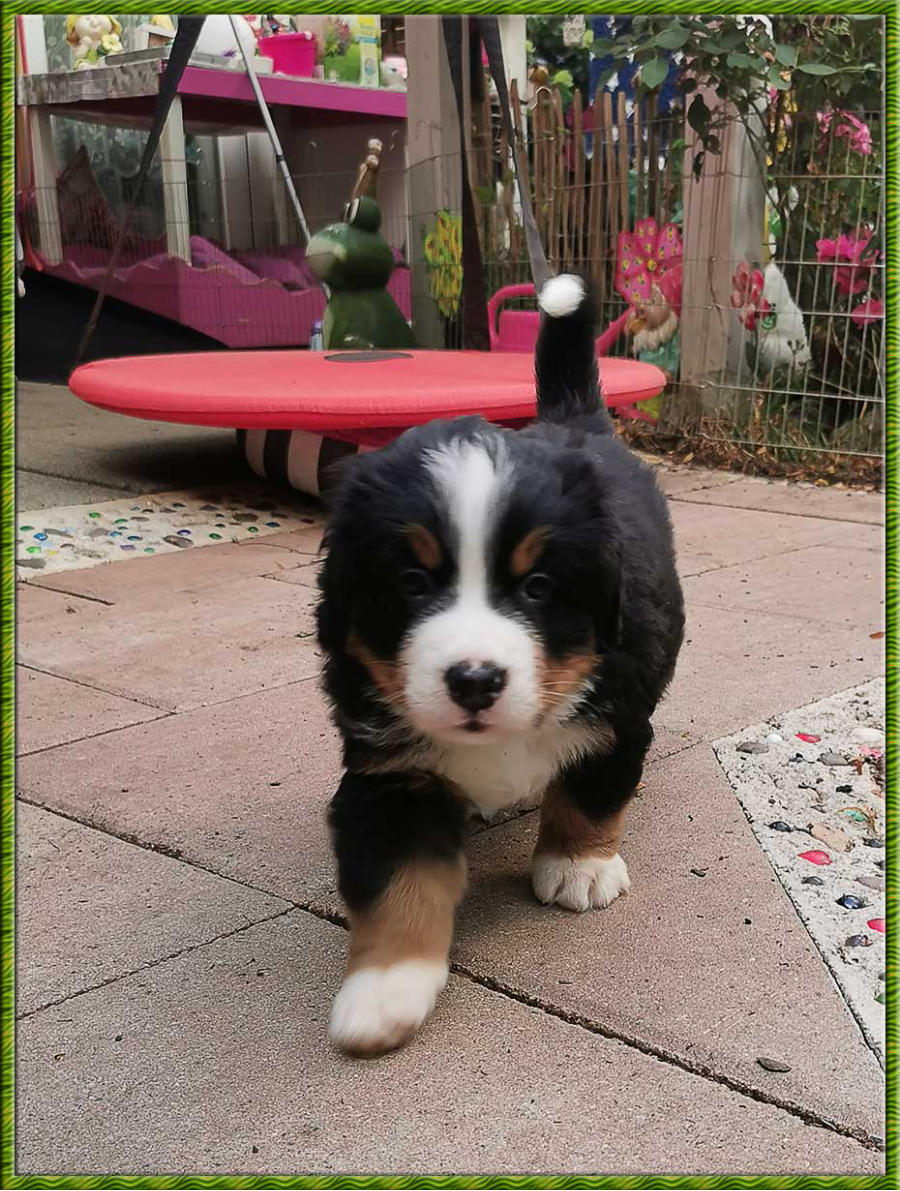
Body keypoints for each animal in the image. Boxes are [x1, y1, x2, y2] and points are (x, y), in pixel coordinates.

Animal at [316, 275, 684, 1054]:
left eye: (538, 587)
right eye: (411, 584)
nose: (475, 680)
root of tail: (576, 420)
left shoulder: (619, 718)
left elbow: (590, 793)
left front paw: (579, 867)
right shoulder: (389, 775)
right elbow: (398, 880)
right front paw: (383, 993)